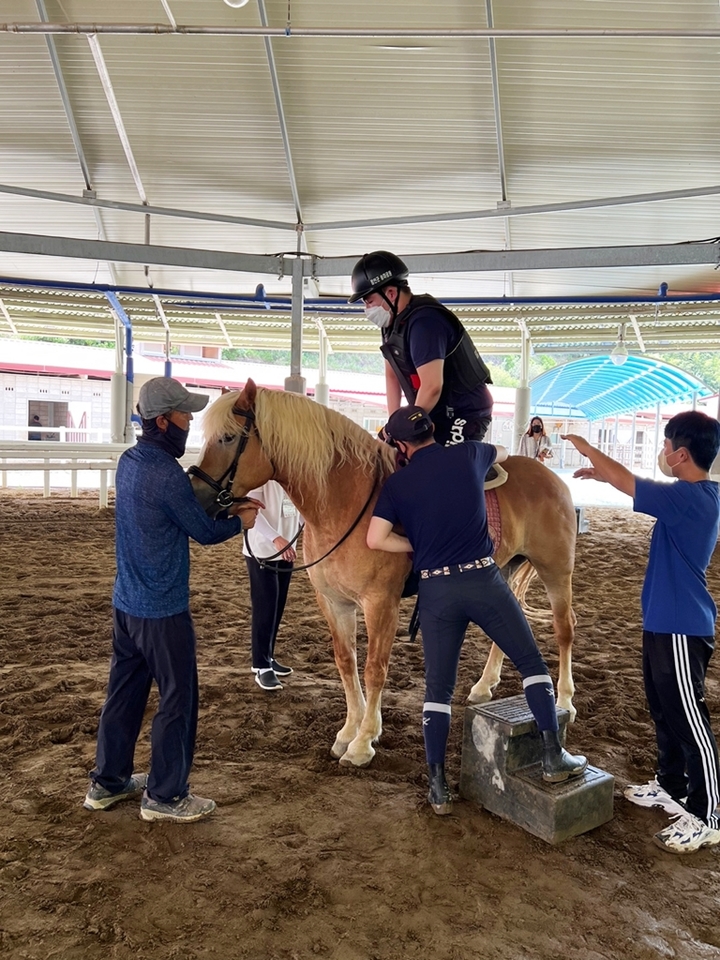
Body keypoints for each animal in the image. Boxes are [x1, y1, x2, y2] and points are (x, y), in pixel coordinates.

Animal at [188, 378, 576, 768]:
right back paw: (484, 686)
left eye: (227, 438)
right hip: (505, 569)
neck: (345, 502)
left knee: (564, 629)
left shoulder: (380, 603)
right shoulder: (334, 602)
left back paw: (564, 703)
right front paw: (349, 730)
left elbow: (374, 668)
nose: (199, 497)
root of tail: (550, 478)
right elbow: (346, 662)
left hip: (556, 571)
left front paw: (363, 742)